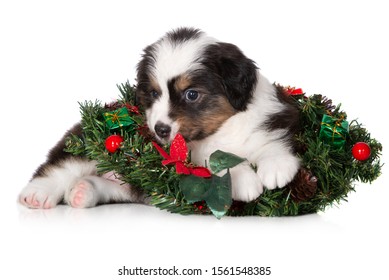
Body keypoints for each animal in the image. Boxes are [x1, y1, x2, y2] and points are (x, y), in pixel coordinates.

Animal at [19, 27, 300, 209]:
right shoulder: (192, 153)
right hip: (84, 144)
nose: (161, 130)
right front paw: (244, 180)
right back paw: (36, 195)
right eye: (154, 93)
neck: (224, 128)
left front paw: (276, 166)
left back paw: (82, 192)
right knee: (61, 167)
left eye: (191, 94)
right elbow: (216, 155)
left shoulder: (276, 115)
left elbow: (275, 139)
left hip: (130, 185)